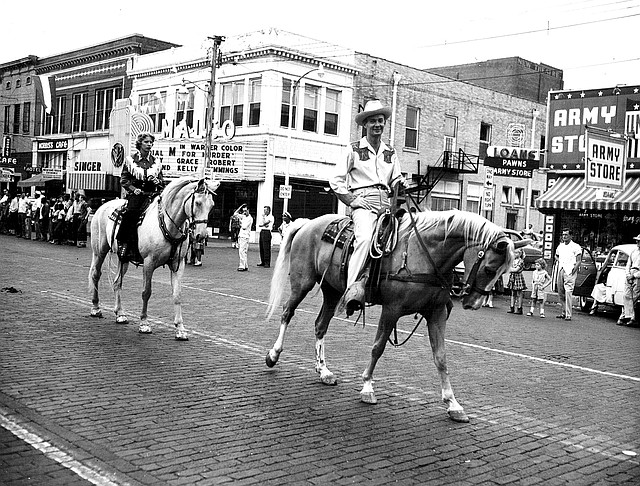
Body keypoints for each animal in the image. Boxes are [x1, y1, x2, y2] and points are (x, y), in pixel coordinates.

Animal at [88, 177, 220, 340]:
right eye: (198, 203)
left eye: (212, 205)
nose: (201, 236)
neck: (168, 224)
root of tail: (103, 206)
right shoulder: (148, 263)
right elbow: (146, 292)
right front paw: (144, 323)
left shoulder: (178, 264)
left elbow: (177, 295)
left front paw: (180, 329)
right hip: (99, 251)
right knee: (95, 274)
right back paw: (95, 308)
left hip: (123, 258)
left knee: (117, 282)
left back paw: (120, 314)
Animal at [264, 211, 524, 424]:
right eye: (489, 269)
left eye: (503, 272)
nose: (473, 304)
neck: (423, 253)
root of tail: (308, 223)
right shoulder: (392, 309)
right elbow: (377, 347)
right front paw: (367, 387)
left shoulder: (436, 313)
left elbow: (440, 358)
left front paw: (453, 404)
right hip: (303, 282)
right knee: (287, 312)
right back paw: (273, 355)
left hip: (333, 291)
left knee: (320, 325)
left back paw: (324, 371)